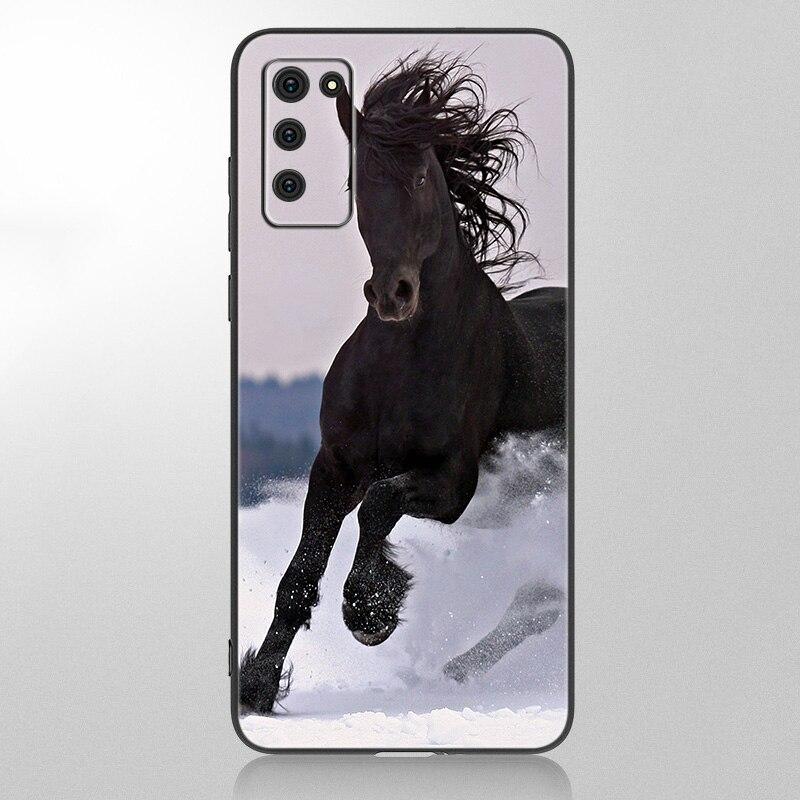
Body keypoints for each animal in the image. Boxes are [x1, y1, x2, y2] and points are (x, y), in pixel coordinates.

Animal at [240, 54, 567, 714]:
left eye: (419, 178)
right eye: (358, 183)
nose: (393, 295)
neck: (403, 362)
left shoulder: (454, 482)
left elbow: (381, 504)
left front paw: (372, 610)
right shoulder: (336, 466)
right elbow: (299, 575)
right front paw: (257, 686)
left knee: (541, 600)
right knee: (541, 600)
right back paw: (455, 671)